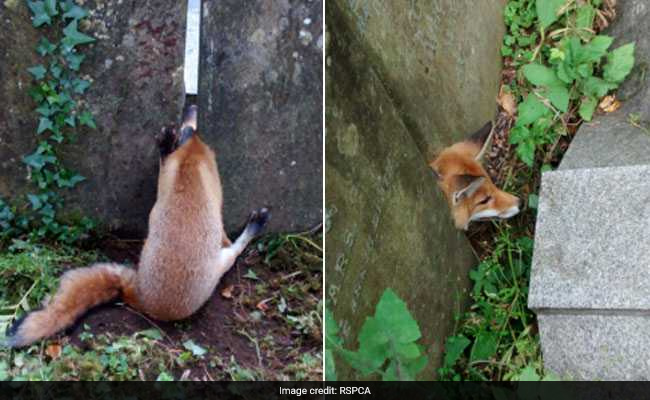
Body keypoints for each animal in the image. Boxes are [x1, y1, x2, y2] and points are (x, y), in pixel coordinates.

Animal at [1, 105, 266, 346]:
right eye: (185, 118)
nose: (191, 105)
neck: (190, 160)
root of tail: (142, 299)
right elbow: (225, 235)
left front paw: (165, 143)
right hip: (219, 265)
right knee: (235, 250)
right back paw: (256, 224)